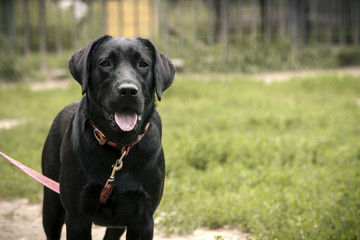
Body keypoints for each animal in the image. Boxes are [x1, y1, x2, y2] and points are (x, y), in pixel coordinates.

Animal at [41, 34, 175, 240]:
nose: (128, 90)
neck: (119, 146)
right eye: (105, 63)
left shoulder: (143, 218)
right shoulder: (77, 217)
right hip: (51, 203)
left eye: (143, 64)